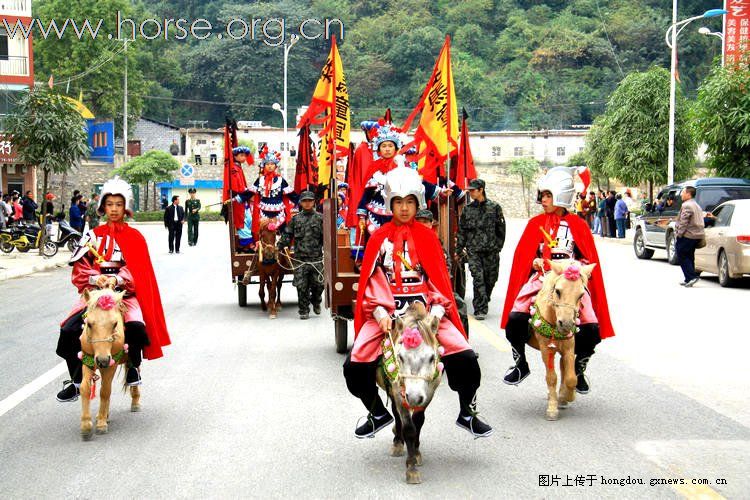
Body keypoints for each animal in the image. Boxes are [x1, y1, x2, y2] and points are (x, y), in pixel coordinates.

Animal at [78, 288, 140, 440]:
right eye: (89, 324)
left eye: (115, 324)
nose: (102, 360)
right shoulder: (88, 360)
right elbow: (85, 388)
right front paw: (86, 425)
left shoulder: (112, 363)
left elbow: (105, 391)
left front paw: (101, 424)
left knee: (134, 370)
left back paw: (135, 401)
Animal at [376, 300, 446, 484]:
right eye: (400, 357)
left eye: (431, 357)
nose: (414, 397)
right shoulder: (399, 393)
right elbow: (408, 428)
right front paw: (411, 467)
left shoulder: (429, 393)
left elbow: (419, 422)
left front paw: (416, 452)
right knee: (396, 413)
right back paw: (397, 441)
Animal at [528, 260, 600, 420]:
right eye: (558, 291)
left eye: (581, 295)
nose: (566, 324)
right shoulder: (546, 349)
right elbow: (551, 377)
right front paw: (552, 409)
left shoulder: (569, 347)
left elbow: (571, 378)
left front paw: (567, 396)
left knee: (563, 368)